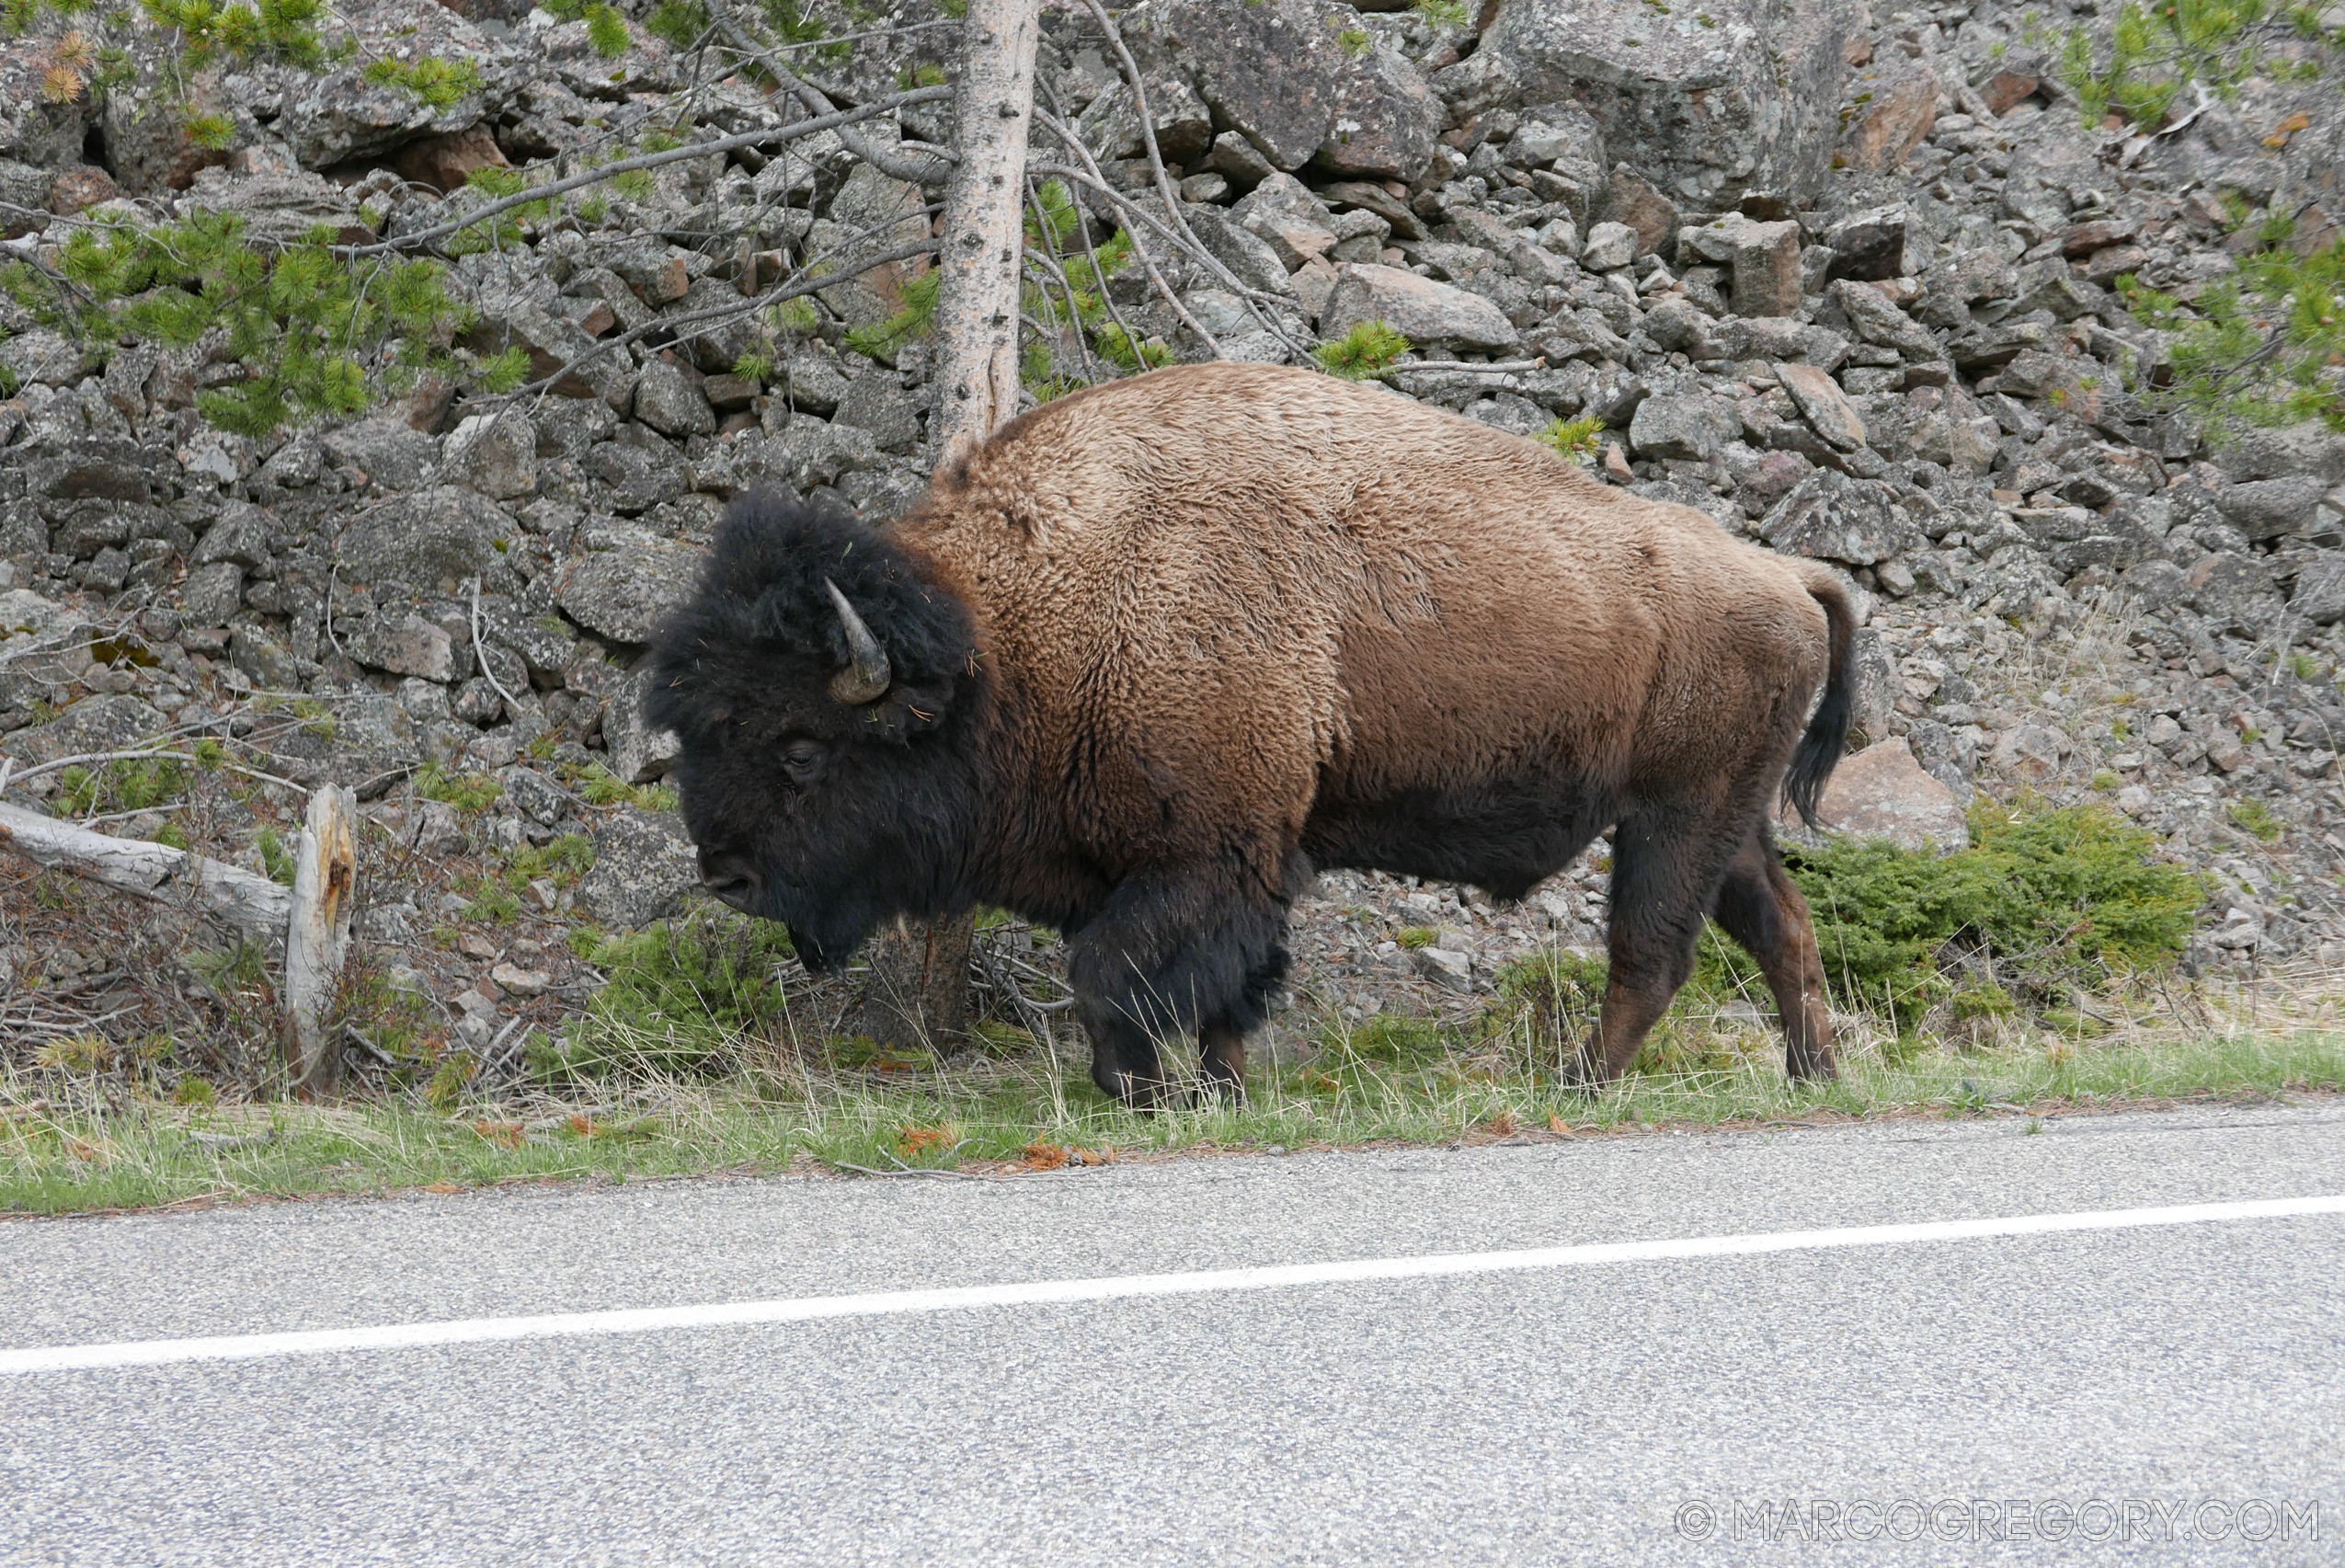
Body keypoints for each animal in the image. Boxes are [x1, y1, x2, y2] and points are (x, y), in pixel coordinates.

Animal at [642, 363, 1847, 1105]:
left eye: (801, 747)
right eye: (698, 731)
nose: (726, 874)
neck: (1013, 634)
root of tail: (1782, 570)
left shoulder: (1209, 857)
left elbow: (1112, 975)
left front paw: (1142, 1096)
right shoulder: (1230, 862)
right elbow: (1227, 992)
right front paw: (1215, 1093)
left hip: (1677, 812)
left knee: (1653, 951)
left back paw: (1579, 1085)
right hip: (1725, 815)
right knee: (1778, 927)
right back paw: (1811, 1073)